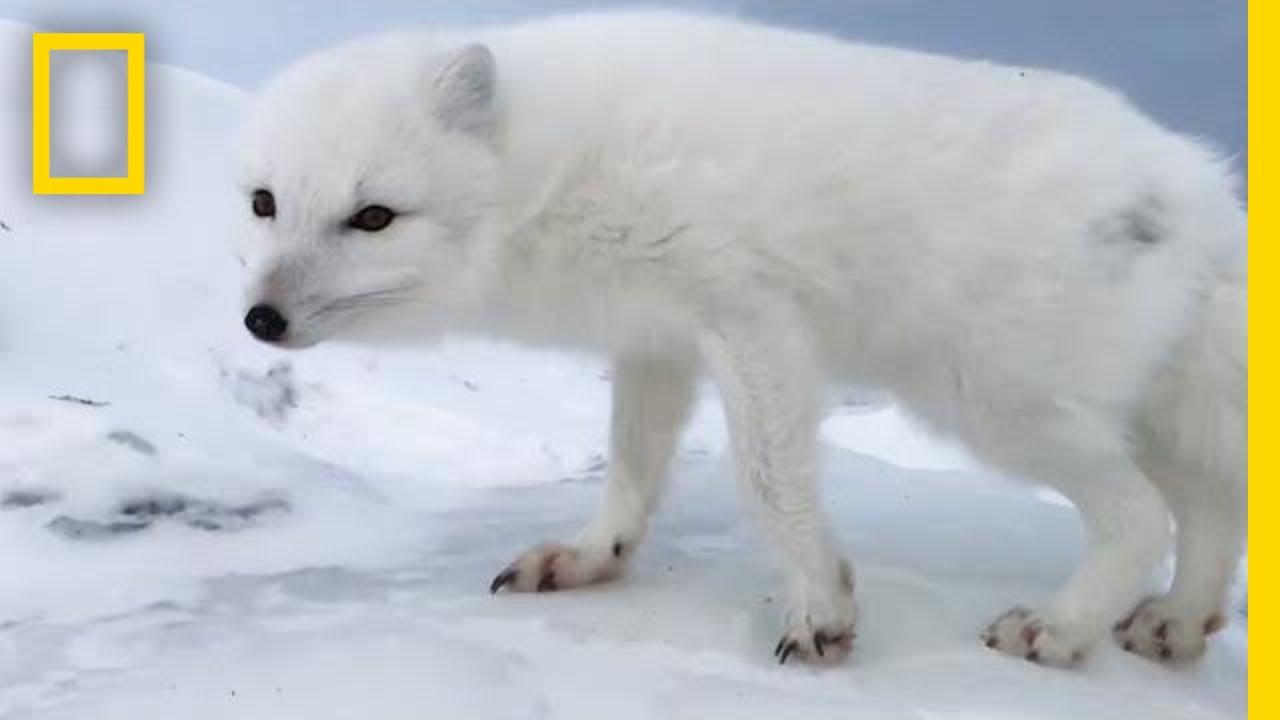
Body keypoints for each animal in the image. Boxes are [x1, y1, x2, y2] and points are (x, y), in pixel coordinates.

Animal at [237, 11, 1246, 667]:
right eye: (264, 202)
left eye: (374, 216)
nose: (260, 319)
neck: (553, 166)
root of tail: (1199, 191)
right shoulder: (654, 340)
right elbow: (630, 466)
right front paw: (591, 556)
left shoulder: (751, 317)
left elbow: (767, 480)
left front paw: (821, 605)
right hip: (1125, 410)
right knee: (1211, 510)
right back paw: (1174, 624)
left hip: (992, 400)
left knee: (1143, 516)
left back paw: (1062, 629)